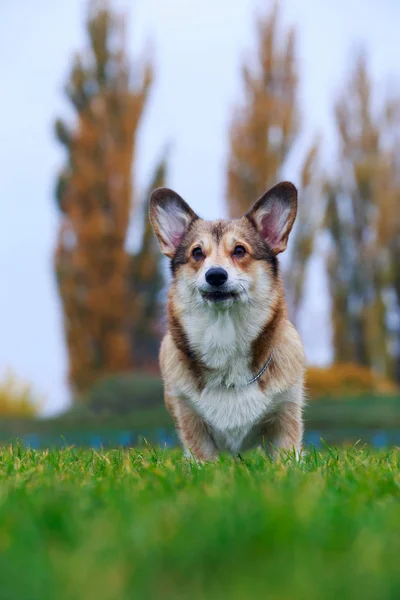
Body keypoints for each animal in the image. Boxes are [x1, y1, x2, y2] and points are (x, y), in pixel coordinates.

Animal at [148, 182, 304, 460]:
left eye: (240, 250)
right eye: (197, 252)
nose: (215, 275)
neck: (224, 333)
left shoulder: (285, 416)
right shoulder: (192, 422)